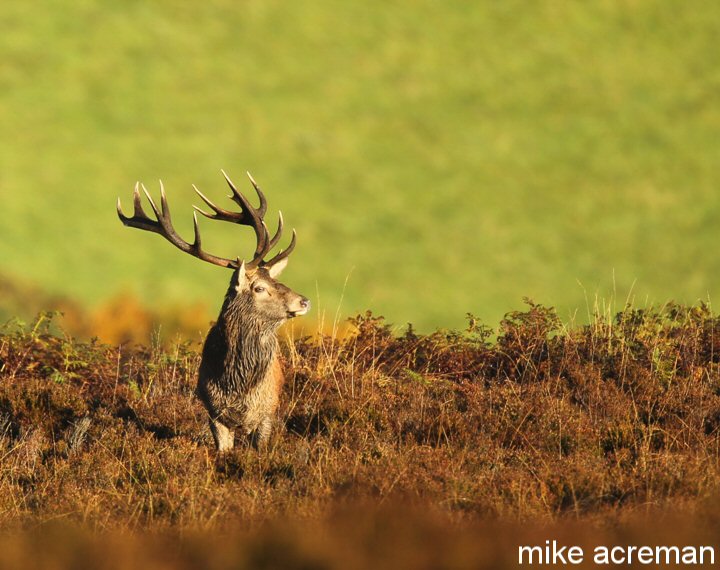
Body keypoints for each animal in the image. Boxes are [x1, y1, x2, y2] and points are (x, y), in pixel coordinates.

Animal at [117, 170, 310, 451]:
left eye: (276, 280)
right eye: (260, 288)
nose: (304, 301)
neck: (237, 386)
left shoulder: (266, 412)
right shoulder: (213, 412)